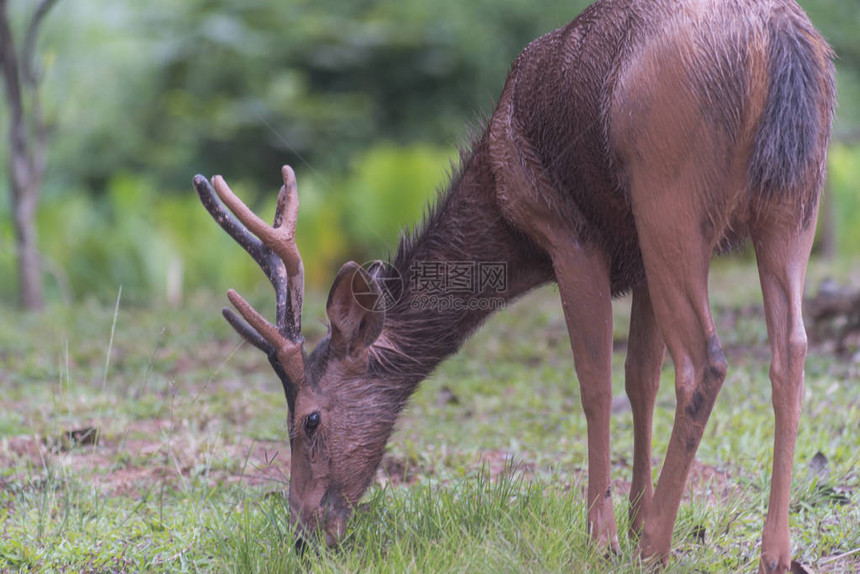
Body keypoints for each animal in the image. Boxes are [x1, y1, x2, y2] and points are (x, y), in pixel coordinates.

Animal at [193, 0, 832, 572]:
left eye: (309, 420)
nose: (303, 534)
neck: (501, 203)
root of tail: (781, 38)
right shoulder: (638, 263)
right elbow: (640, 378)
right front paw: (633, 515)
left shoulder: (570, 233)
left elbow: (596, 383)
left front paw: (606, 537)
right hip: (796, 198)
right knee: (790, 348)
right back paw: (774, 552)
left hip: (670, 193)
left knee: (707, 361)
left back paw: (656, 548)